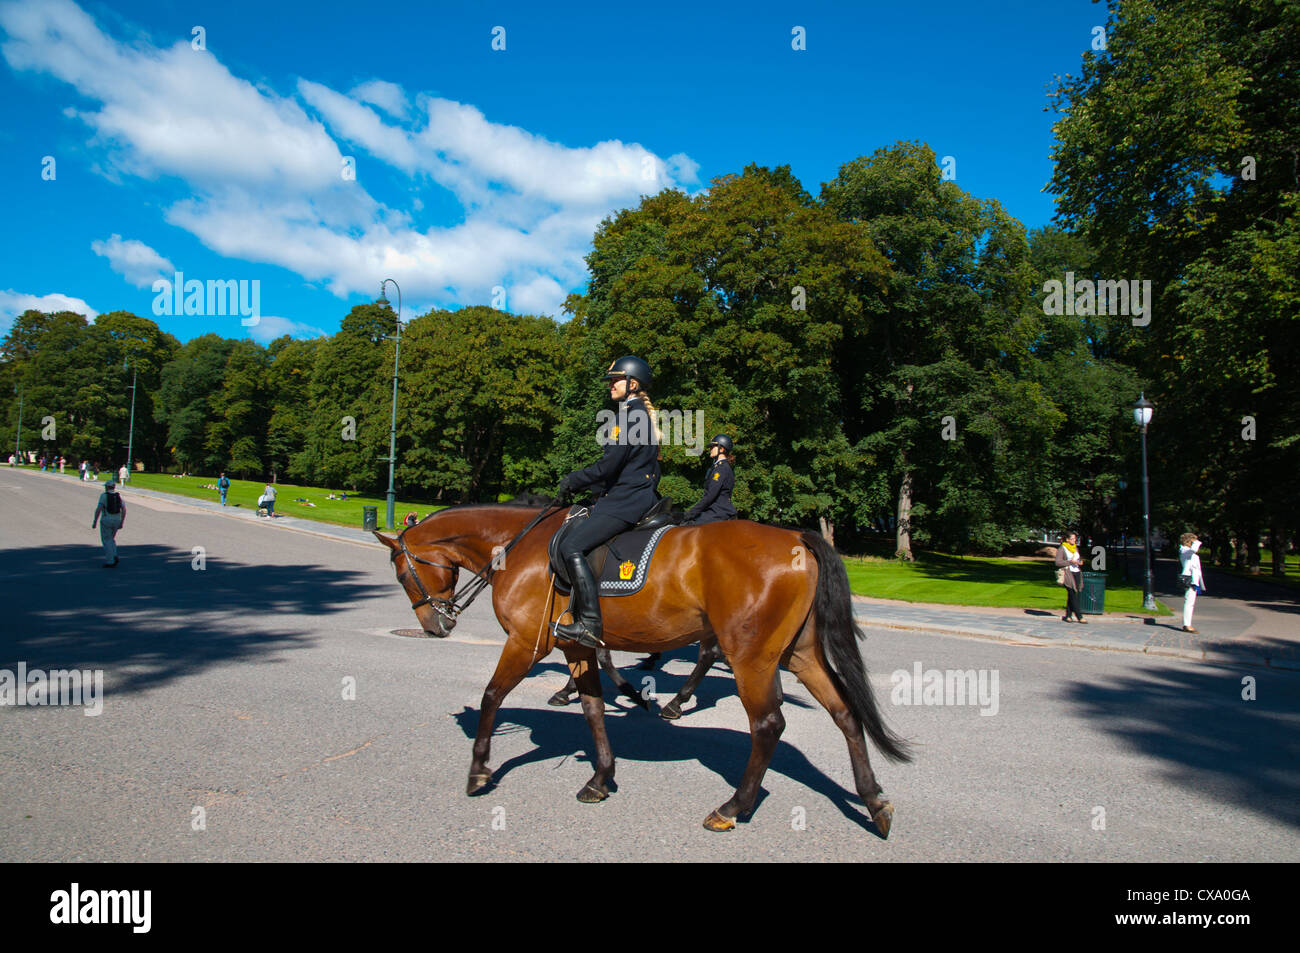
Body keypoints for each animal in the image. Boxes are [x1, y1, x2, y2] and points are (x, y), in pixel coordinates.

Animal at [374, 501, 915, 826]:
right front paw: (600, 776)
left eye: (401, 571)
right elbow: (593, 709)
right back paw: (873, 800)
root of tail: (797, 539)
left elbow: (490, 696)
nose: (434, 625)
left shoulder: (526, 643)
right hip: (798, 654)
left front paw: (479, 770)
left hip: (751, 657)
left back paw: (733, 804)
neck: (519, 546)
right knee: (845, 713)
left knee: (767, 724)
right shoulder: (577, 646)